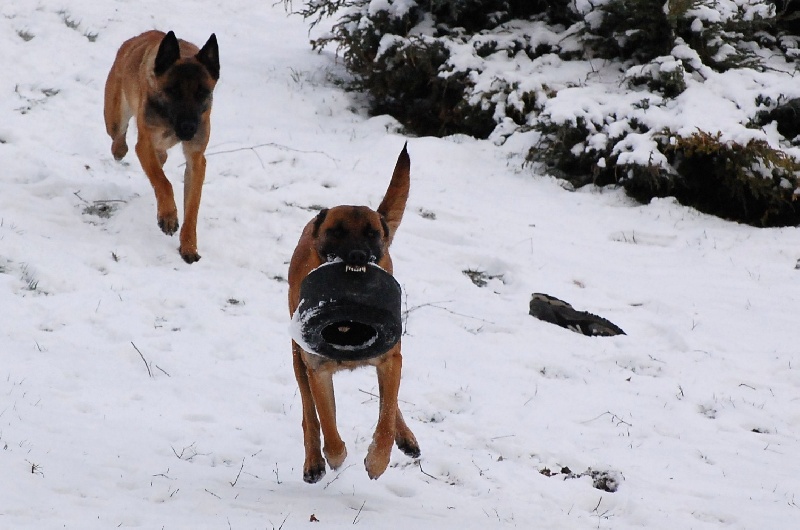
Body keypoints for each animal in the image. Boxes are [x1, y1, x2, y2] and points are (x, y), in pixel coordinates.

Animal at [105, 30, 222, 262]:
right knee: (119, 140)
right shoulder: (144, 145)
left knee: (161, 158)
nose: (189, 128)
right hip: (115, 118)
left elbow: (192, 208)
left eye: (202, 93)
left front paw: (189, 247)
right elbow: (163, 182)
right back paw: (119, 149)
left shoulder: (196, 159)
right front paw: (168, 216)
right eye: (173, 91)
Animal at [290, 144, 424, 482]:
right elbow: (327, 422)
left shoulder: (390, 360)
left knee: (390, 400)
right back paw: (314, 460)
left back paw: (405, 437)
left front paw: (377, 460)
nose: (357, 256)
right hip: (297, 359)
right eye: (336, 232)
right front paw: (335, 456)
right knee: (309, 414)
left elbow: (386, 417)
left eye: (371, 233)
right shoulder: (318, 370)